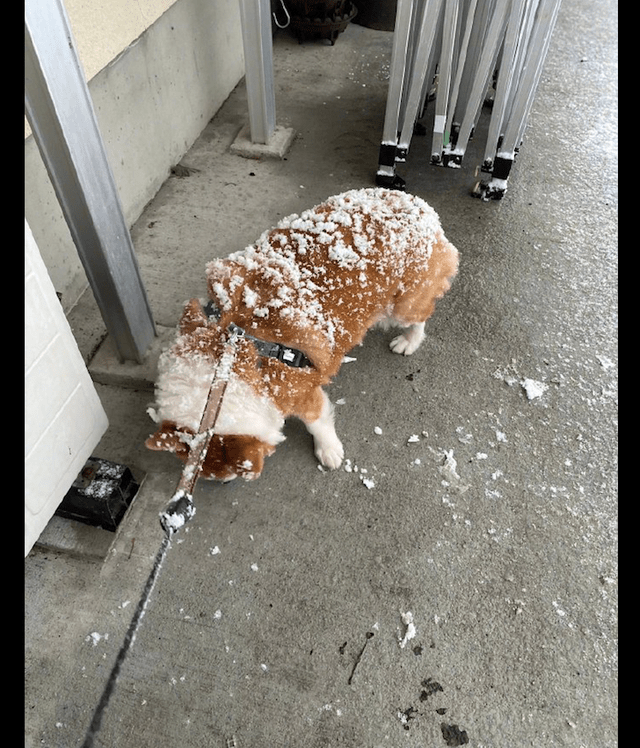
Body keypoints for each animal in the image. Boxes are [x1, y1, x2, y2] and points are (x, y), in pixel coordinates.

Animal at [145, 187, 458, 480]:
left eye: (224, 474)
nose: (224, 483)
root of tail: (419, 206)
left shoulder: (302, 393)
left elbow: (317, 424)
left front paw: (329, 451)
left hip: (405, 304)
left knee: (421, 316)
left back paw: (408, 341)